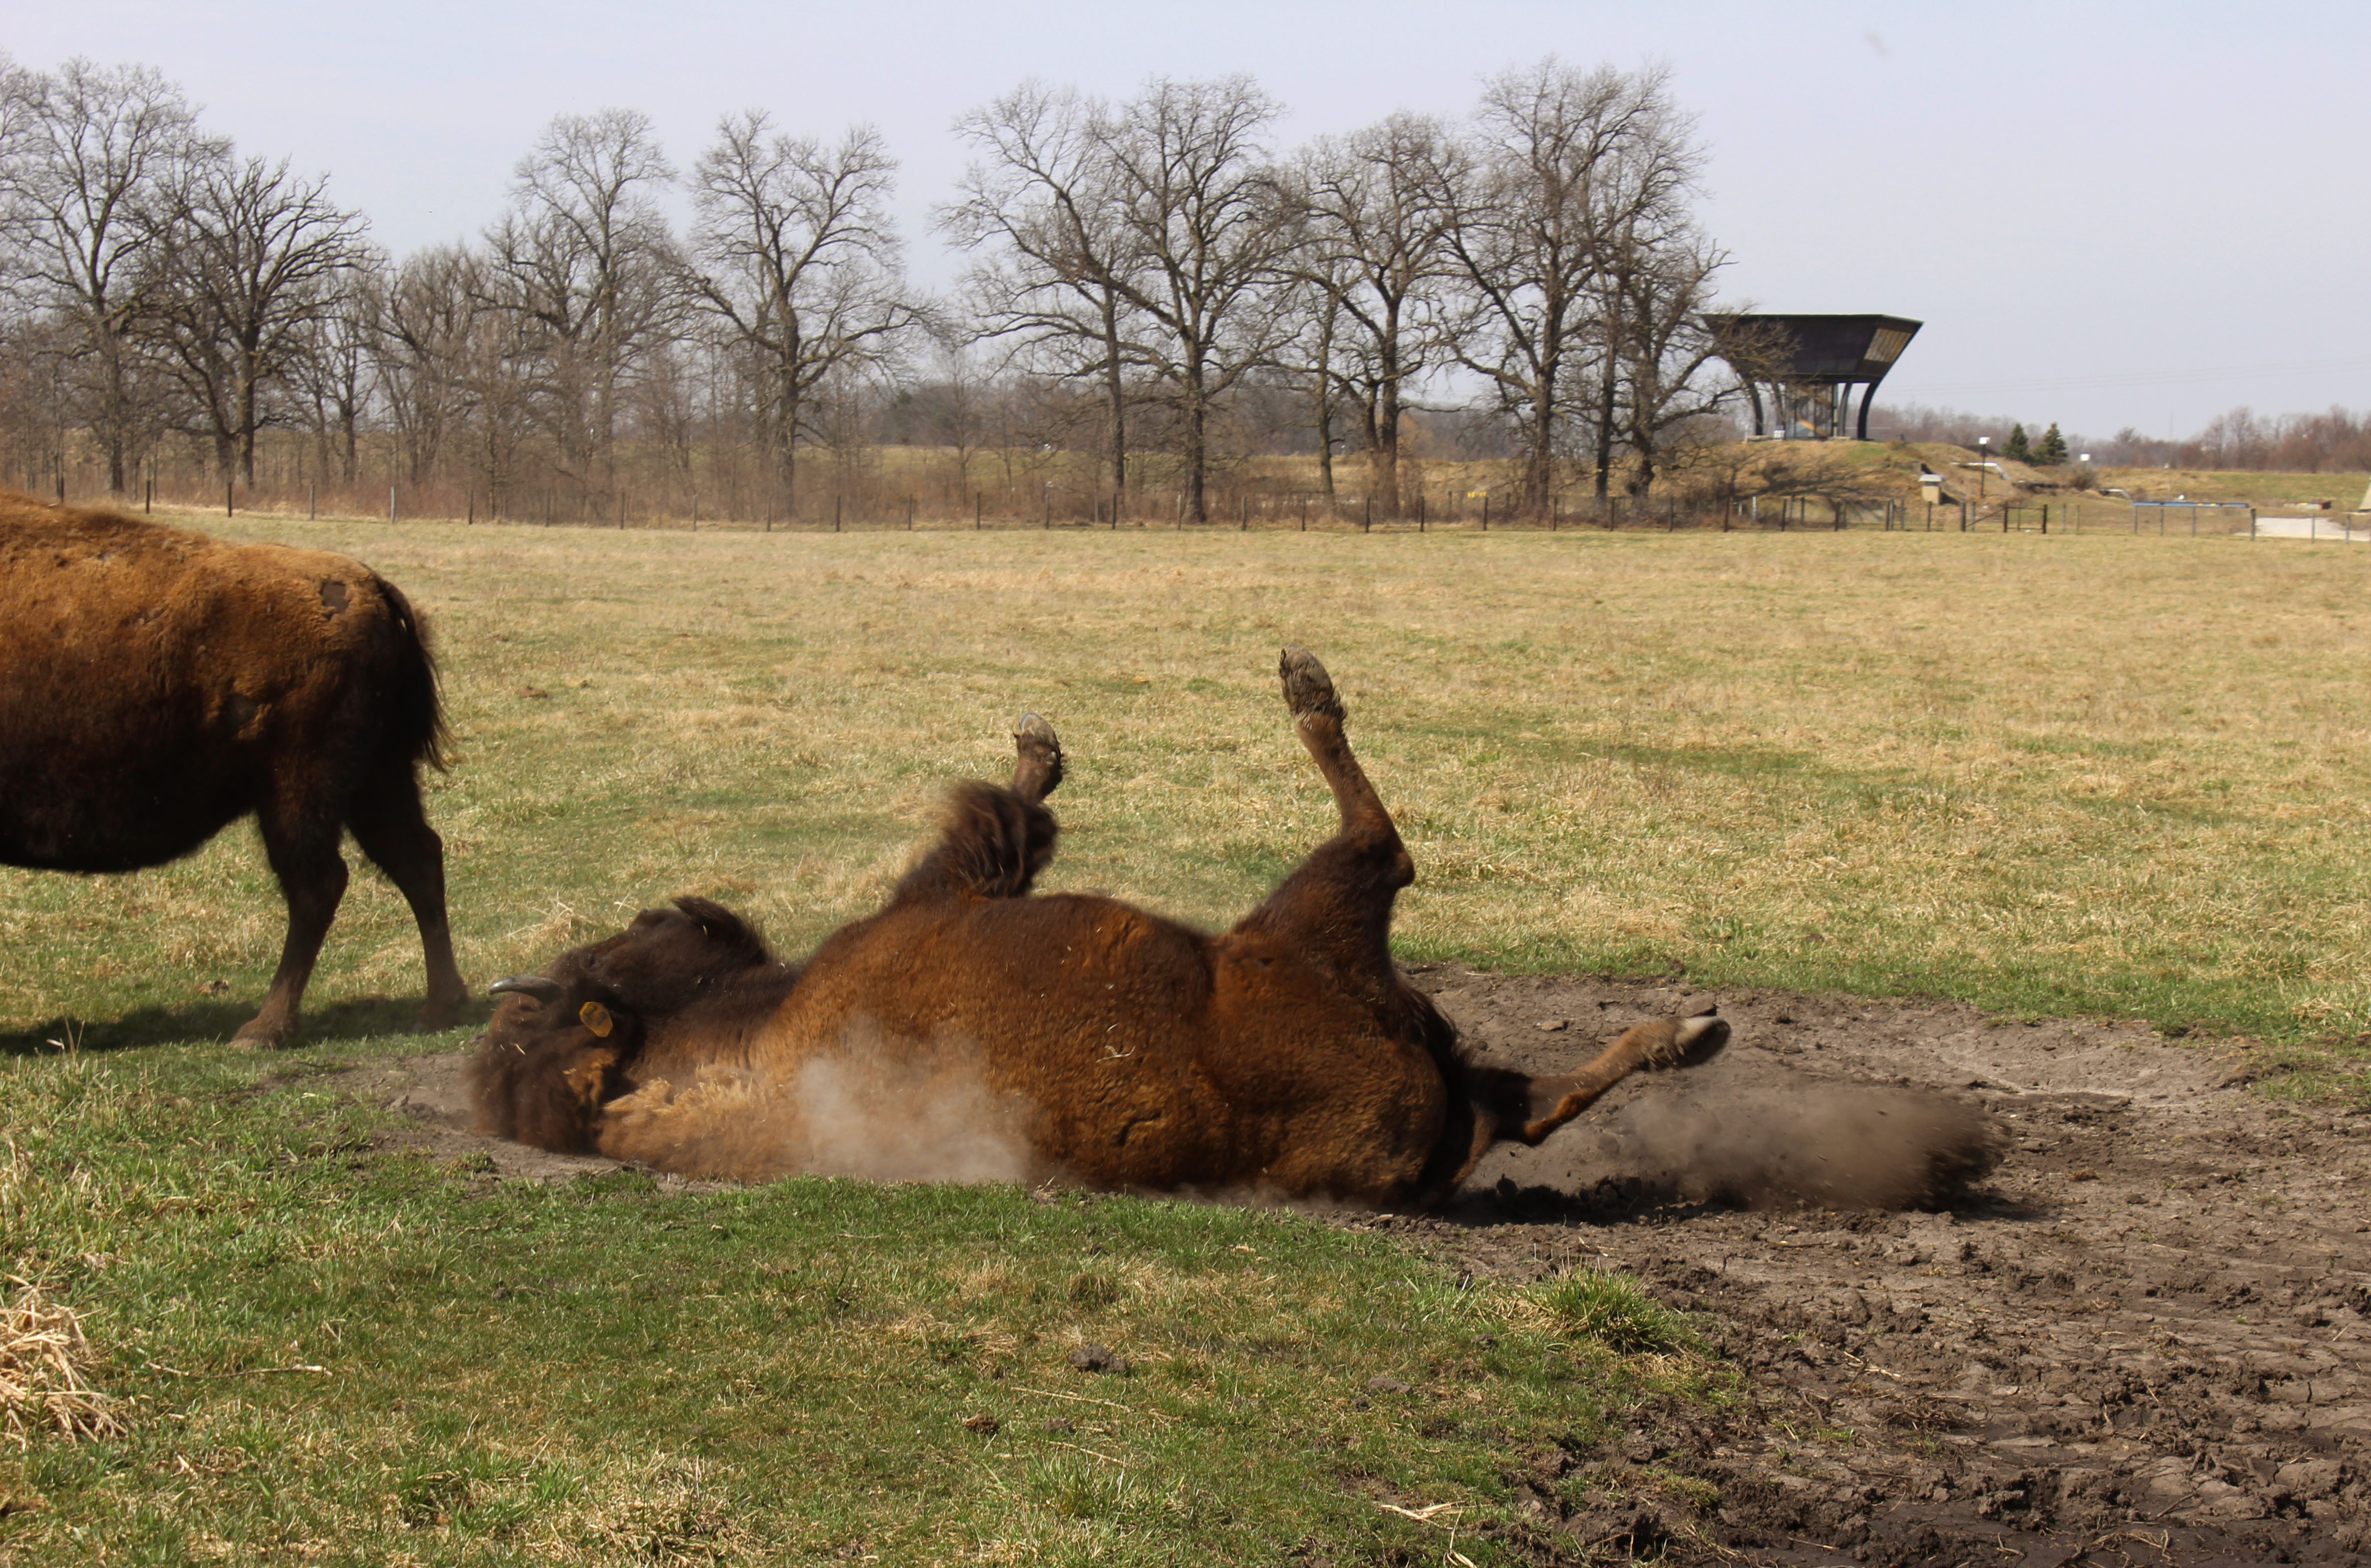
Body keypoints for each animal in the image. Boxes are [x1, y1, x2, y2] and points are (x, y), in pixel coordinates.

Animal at [0, 495, 467, 1044]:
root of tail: (372, 584)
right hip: (377, 778)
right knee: (415, 859)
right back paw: (440, 1008)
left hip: (298, 790)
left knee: (319, 883)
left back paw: (264, 1028)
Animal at [481, 645, 1735, 1200]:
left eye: (583, 969)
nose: (658, 904)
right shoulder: (948, 895)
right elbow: (1003, 827)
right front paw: (1040, 750)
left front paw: (1038, 741)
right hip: (1310, 916)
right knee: (1385, 842)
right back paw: (1307, 685)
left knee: (1534, 1103)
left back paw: (1686, 1033)